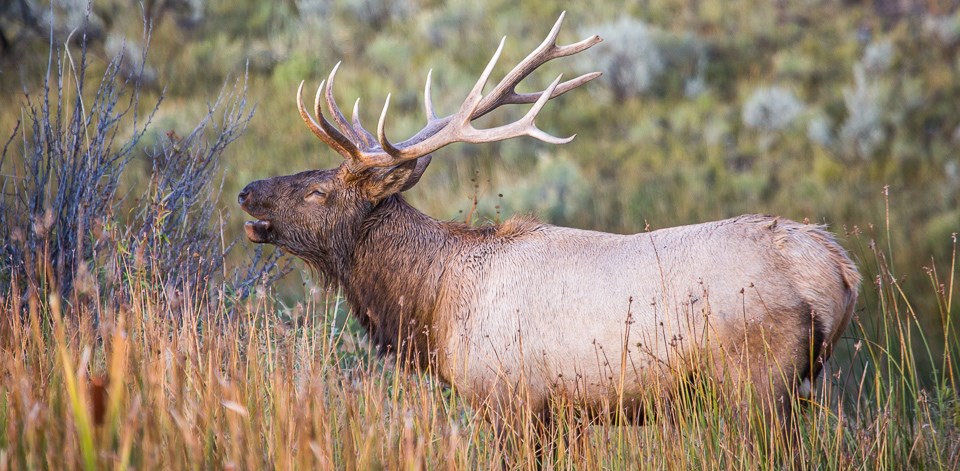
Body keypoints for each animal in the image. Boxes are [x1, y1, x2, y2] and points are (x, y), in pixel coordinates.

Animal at [240, 12, 864, 442]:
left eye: (318, 191)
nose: (247, 191)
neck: (434, 305)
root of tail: (834, 267)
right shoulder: (562, 414)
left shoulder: (509, 400)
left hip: (758, 382)